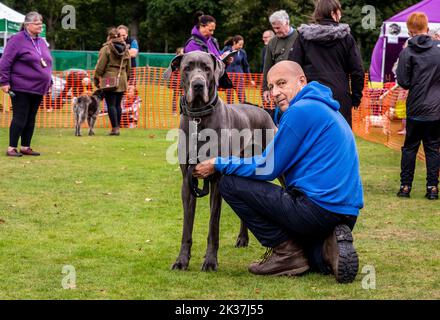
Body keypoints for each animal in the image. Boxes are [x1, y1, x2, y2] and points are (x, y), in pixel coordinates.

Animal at [163, 51, 276, 272]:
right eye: (187, 68)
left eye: (207, 68)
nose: (198, 84)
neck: (199, 117)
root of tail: (263, 110)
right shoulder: (187, 181)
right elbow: (187, 226)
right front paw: (182, 260)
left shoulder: (216, 181)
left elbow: (213, 225)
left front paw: (210, 261)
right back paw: (242, 238)